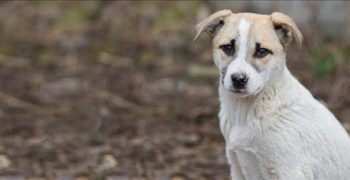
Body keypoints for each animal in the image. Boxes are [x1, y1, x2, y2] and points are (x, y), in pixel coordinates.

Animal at [194, 10, 350, 180]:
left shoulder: (288, 171)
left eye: (262, 51)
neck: (247, 111)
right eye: (227, 48)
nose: (239, 79)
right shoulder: (237, 166)